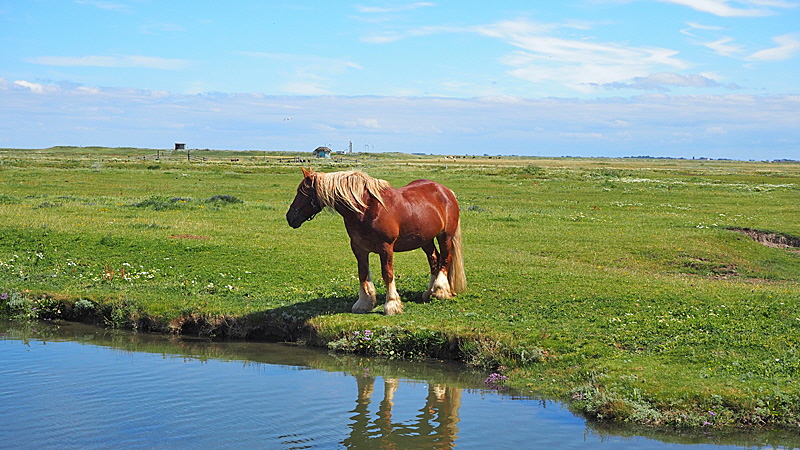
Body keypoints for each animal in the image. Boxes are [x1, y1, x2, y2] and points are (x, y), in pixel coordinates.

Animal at [288, 167, 466, 314]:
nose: (290, 218)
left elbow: (387, 274)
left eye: (302, 192)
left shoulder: (386, 248)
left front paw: (391, 304)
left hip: (445, 236)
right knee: (434, 259)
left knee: (445, 259)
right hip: (425, 240)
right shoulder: (358, 248)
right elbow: (363, 274)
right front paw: (364, 303)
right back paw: (429, 292)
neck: (367, 208)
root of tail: (446, 191)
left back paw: (441, 291)